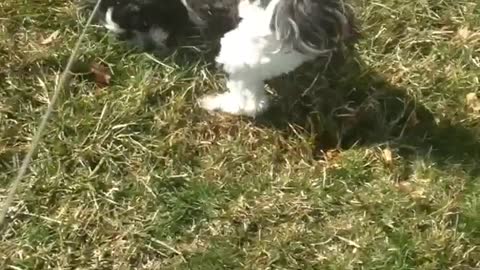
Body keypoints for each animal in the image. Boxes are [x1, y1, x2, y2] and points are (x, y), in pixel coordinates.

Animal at [93, 0, 356, 116]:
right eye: (126, 34)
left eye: (143, 23)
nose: (146, 45)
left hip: (238, 56)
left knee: (252, 104)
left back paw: (216, 103)